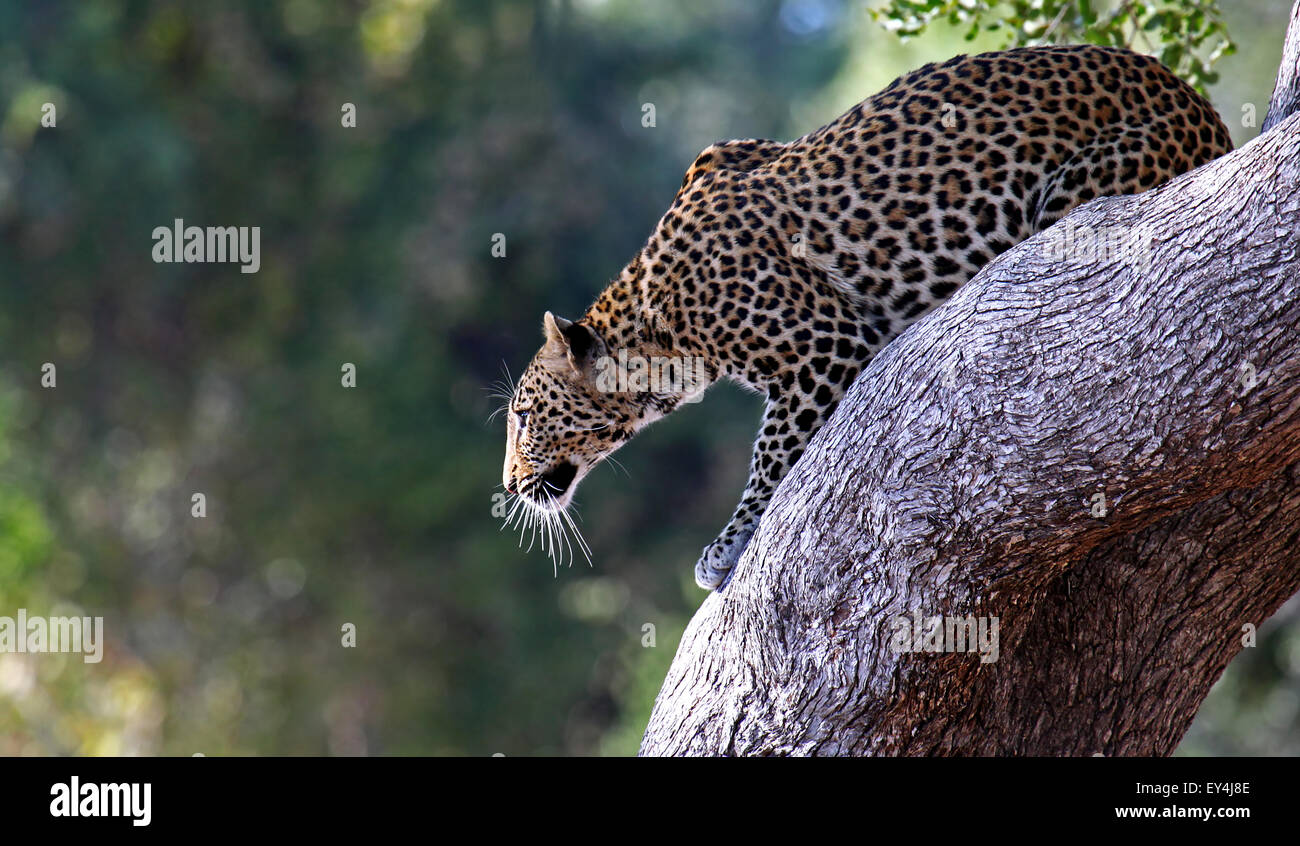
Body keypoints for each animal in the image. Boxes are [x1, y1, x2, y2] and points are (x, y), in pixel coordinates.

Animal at [500, 44, 1232, 590]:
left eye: (525, 417)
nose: (508, 486)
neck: (659, 329)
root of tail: (1209, 114)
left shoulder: (822, 345)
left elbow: (770, 457)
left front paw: (728, 544)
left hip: (1074, 195)